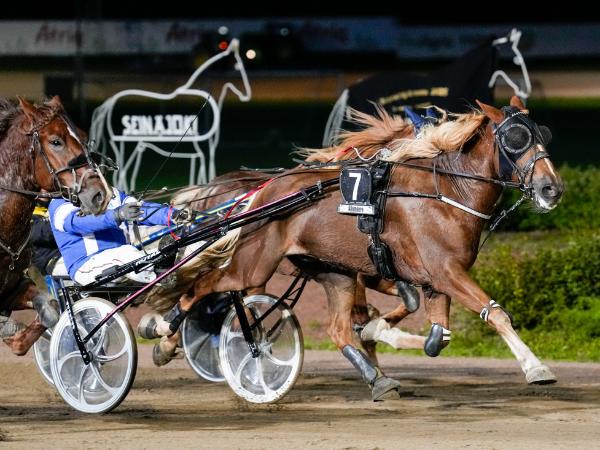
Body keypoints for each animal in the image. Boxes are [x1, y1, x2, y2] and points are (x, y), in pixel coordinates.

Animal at [0, 96, 112, 355]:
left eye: (83, 135)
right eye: (55, 141)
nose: (100, 193)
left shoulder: (12, 287)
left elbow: (50, 307)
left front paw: (16, 338)